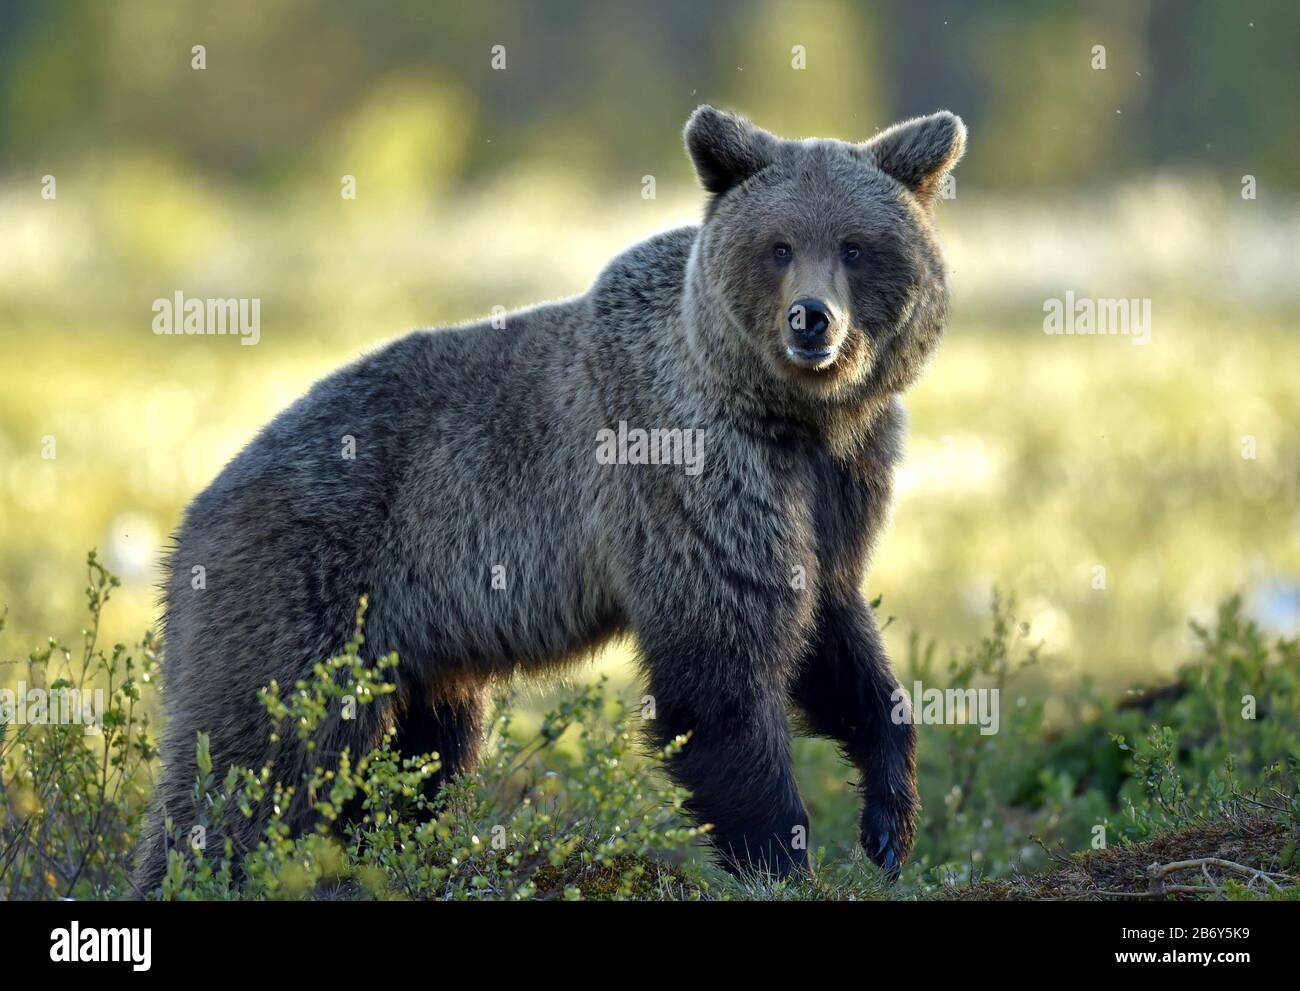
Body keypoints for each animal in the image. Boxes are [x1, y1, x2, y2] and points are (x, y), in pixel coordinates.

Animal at [134, 104, 966, 892]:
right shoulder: (692, 473)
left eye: (855, 246)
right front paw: (781, 856)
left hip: (414, 643)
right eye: (780, 246)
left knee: (416, 758)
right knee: (255, 758)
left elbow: (832, 630)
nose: (811, 319)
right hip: (302, 588)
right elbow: (719, 677)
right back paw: (195, 868)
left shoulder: (839, 486)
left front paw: (889, 821)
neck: (796, 417)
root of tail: (192, 516)